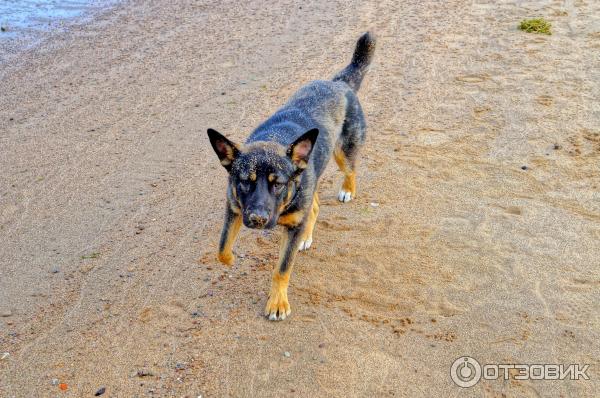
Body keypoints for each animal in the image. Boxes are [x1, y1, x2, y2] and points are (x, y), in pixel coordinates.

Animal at [207, 31, 376, 320]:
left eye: (278, 185)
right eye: (245, 181)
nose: (258, 219)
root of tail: (339, 84)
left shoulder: (292, 222)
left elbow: (282, 269)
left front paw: (277, 302)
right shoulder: (234, 207)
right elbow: (222, 248)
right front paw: (231, 258)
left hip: (343, 151)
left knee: (350, 170)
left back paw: (347, 190)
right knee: (315, 205)